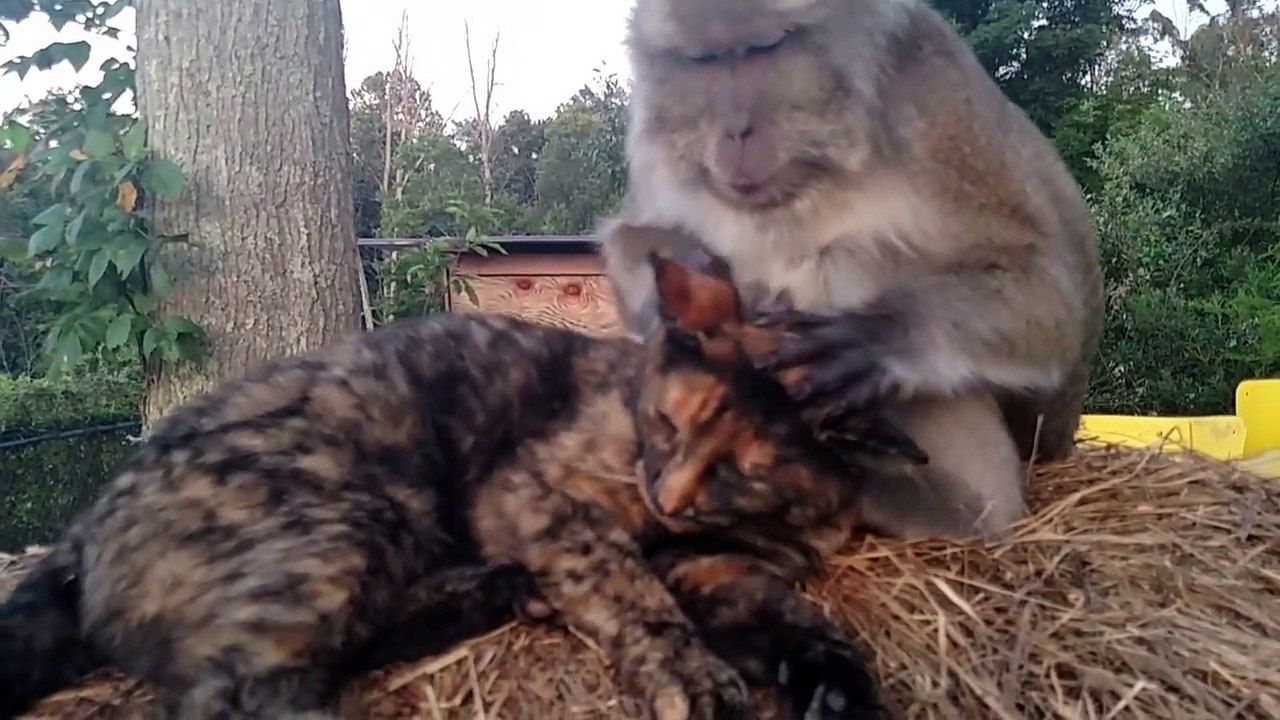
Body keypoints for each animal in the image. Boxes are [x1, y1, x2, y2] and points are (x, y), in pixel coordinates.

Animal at [597, 0, 1104, 541]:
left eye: (764, 49)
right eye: (704, 61)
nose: (735, 131)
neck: (811, 175)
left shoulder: (936, 102)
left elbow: (1046, 291)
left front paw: (882, 334)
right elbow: (638, 236)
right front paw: (679, 272)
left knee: (854, 257)